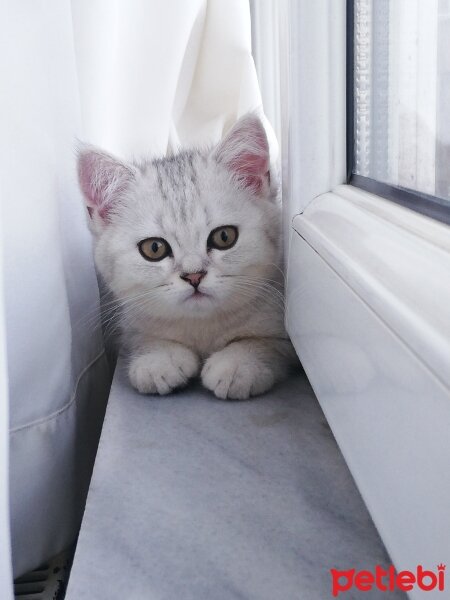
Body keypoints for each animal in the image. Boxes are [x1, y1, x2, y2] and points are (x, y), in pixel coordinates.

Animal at [78, 115, 296, 400]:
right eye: (154, 248)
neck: (202, 326)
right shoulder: (132, 321)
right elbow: (144, 338)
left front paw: (239, 363)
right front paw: (157, 360)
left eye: (224, 237)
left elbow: (268, 343)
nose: (194, 275)